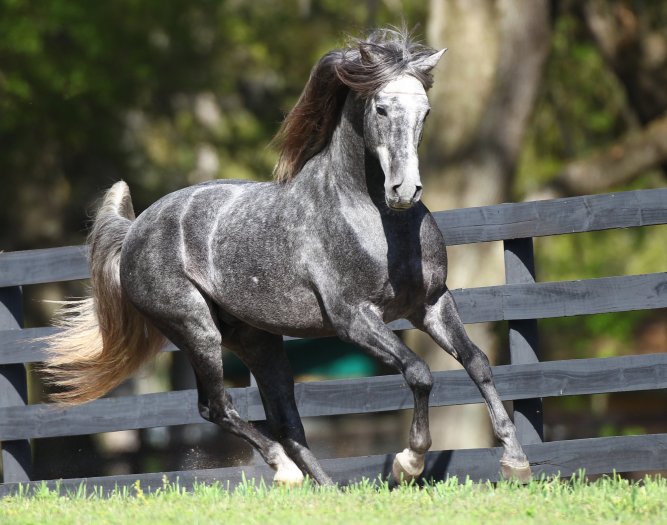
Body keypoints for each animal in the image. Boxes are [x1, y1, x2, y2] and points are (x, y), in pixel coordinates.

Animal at [43, 28, 532, 486]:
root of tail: (134, 231)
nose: (404, 190)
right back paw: (286, 472)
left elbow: (478, 363)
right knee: (217, 407)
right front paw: (408, 463)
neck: (373, 219)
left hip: (258, 341)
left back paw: (328, 489)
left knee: (286, 420)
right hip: (196, 330)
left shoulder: (430, 303)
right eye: (380, 109)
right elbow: (419, 372)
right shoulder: (354, 319)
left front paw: (516, 462)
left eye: (425, 112)